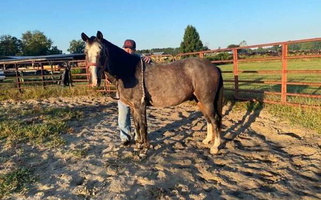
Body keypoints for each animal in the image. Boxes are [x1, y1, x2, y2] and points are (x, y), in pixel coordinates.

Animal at [81, 30, 224, 154]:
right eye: (85, 52)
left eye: (101, 51)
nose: (94, 81)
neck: (129, 70)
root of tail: (214, 67)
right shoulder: (133, 107)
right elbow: (137, 125)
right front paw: (139, 144)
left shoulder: (140, 105)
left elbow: (143, 125)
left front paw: (145, 147)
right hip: (199, 101)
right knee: (208, 119)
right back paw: (207, 140)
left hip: (207, 101)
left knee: (215, 119)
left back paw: (215, 147)